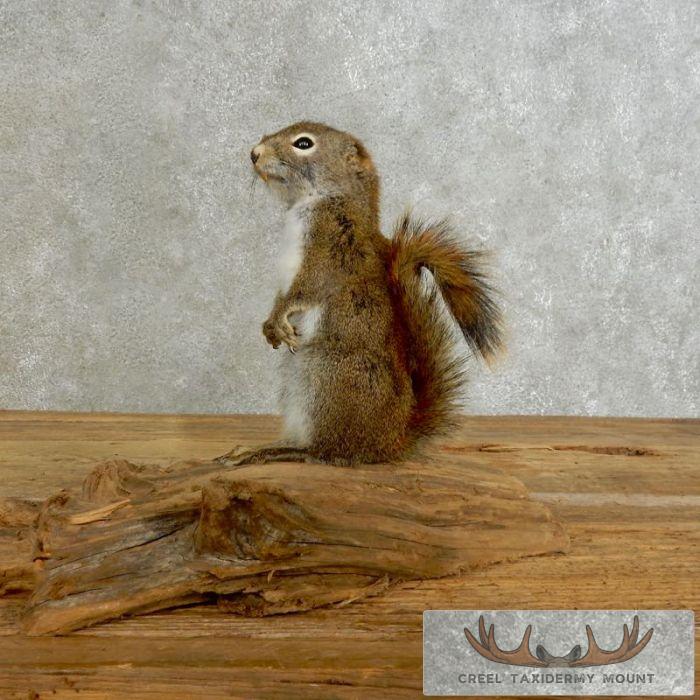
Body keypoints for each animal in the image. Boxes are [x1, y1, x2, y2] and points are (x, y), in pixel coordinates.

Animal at [218, 121, 502, 467]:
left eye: (304, 143)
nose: (254, 154)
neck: (320, 200)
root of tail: (389, 443)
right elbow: (282, 294)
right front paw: (269, 326)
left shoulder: (330, 250)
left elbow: (304, 291)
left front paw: (277, 318)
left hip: (326, 379)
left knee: (329, 452)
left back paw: (277, 452)